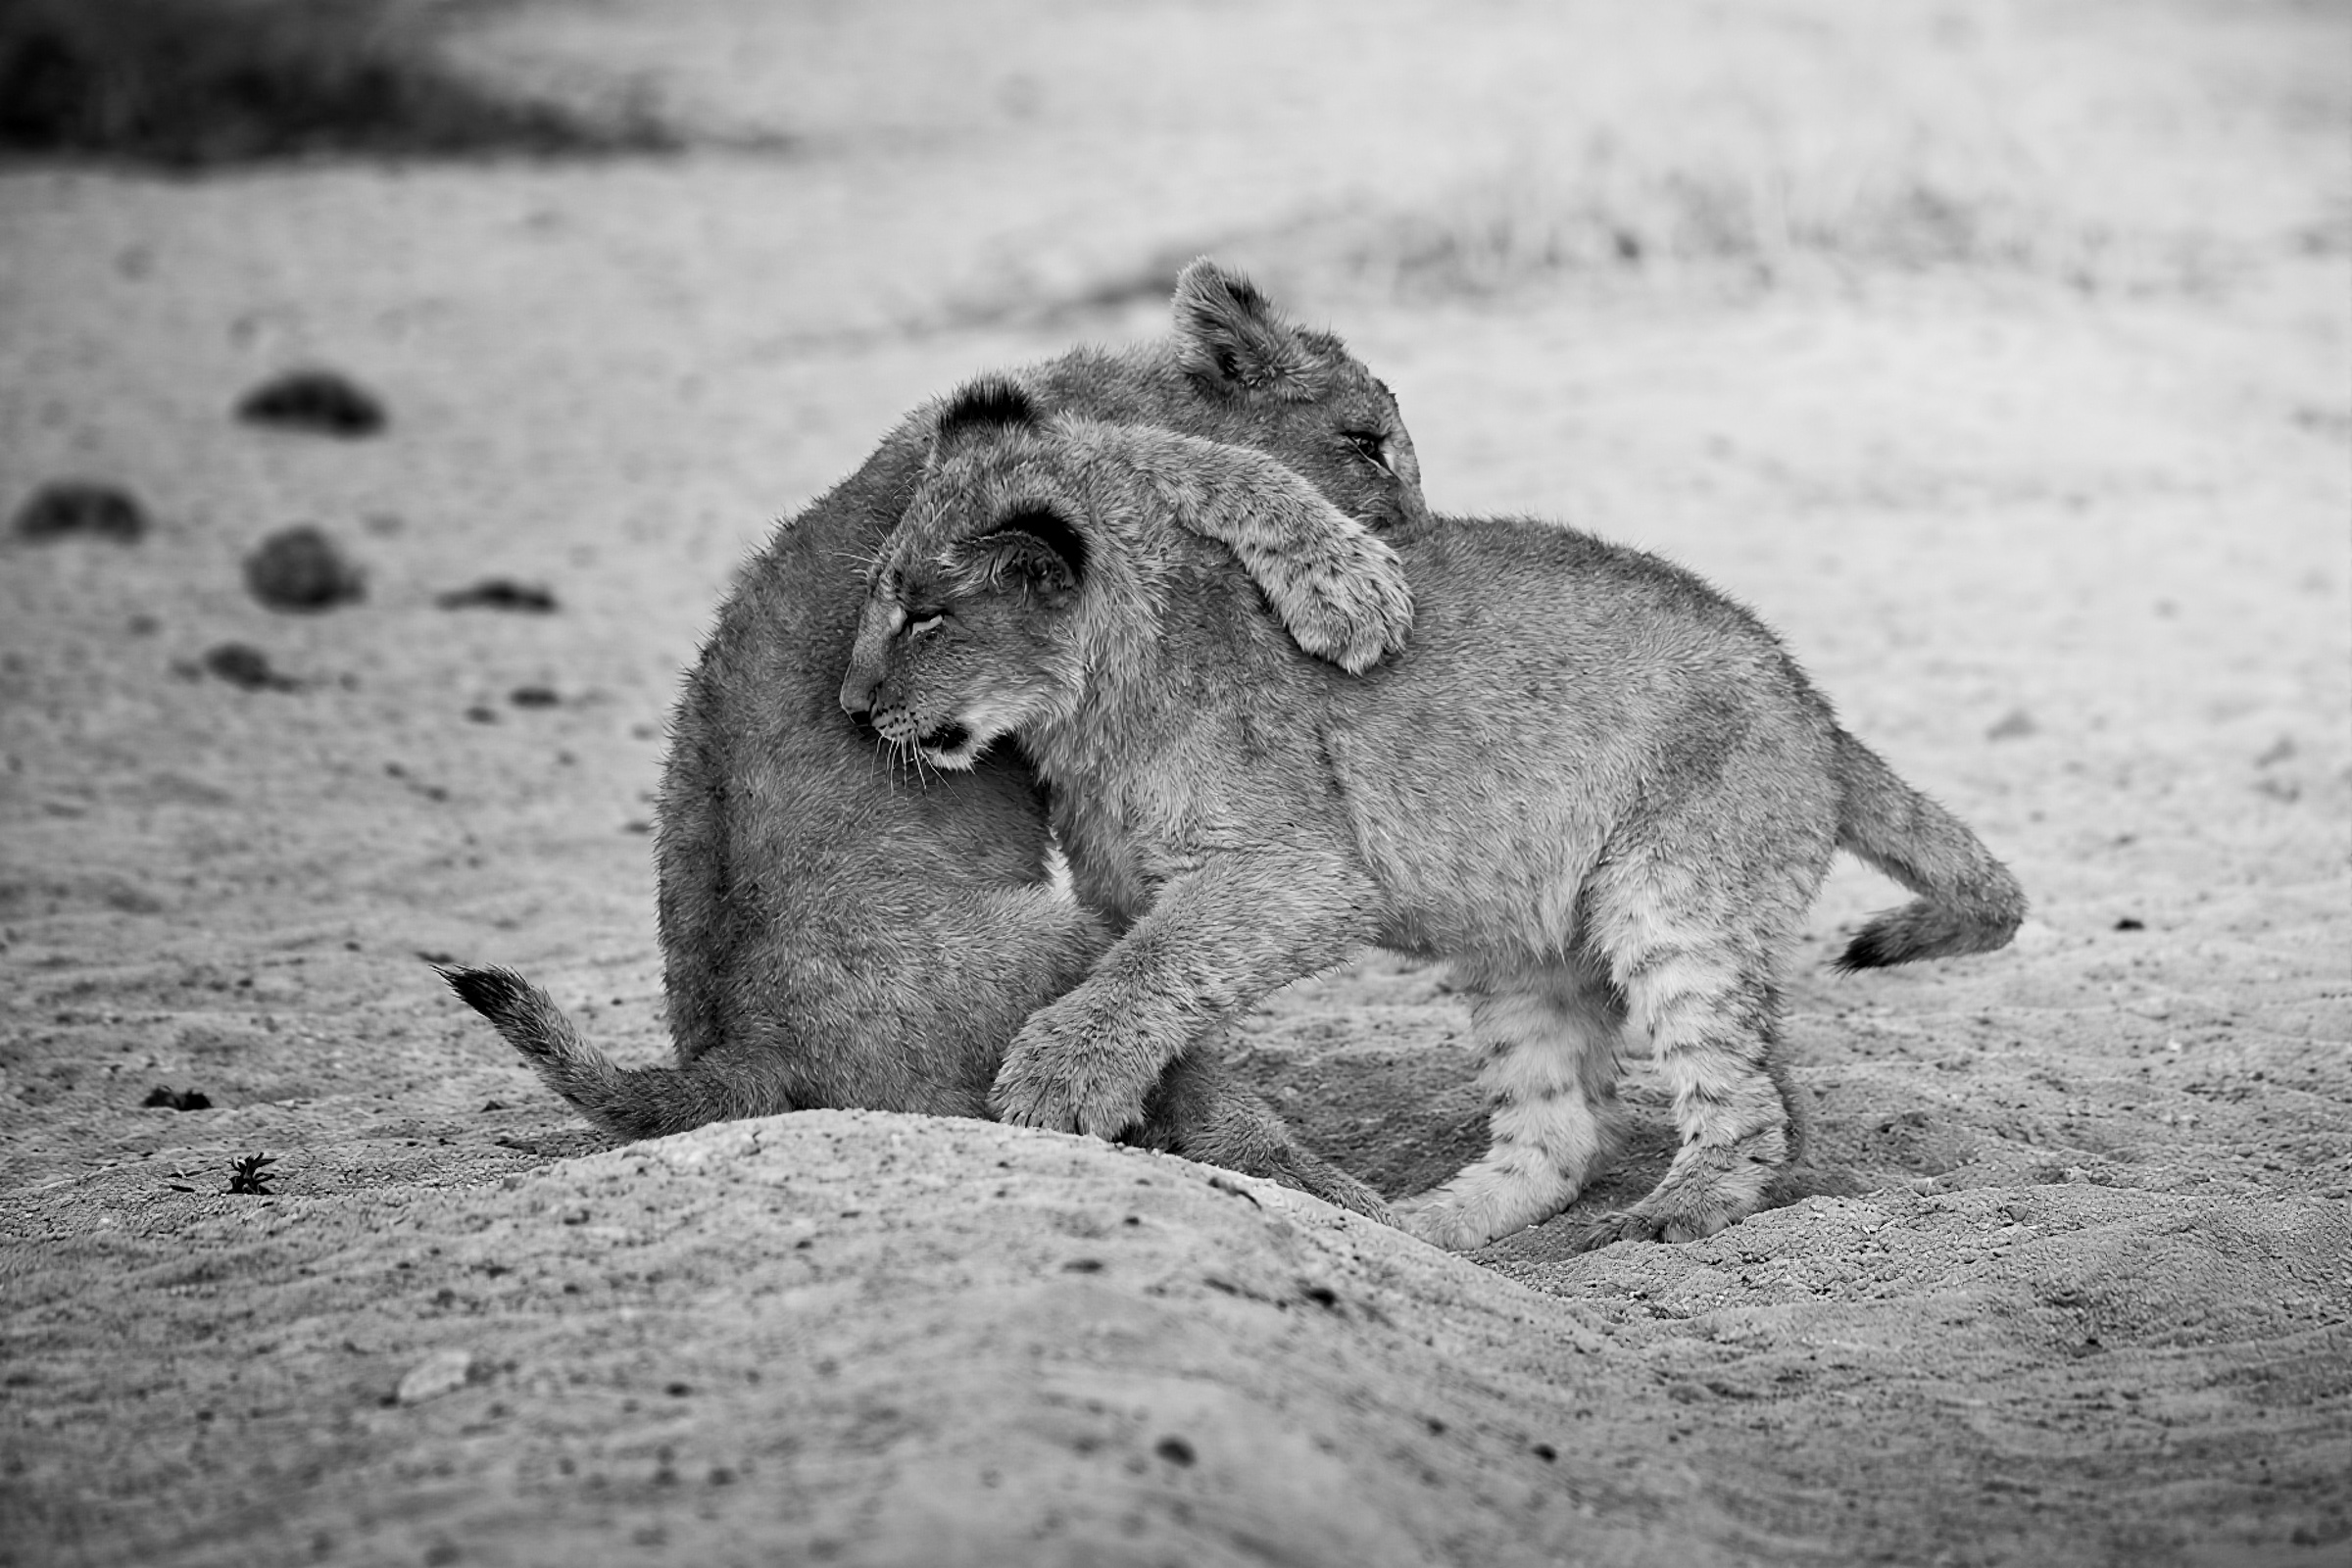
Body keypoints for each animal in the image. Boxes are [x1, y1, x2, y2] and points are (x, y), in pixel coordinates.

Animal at [446, 261, 1427, 1223]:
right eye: (1367, 441)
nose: (1421, 526)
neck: (1129, 385)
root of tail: (741, 1050)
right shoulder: (1020, 467)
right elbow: (1189, 459)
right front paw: (1350, 588)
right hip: (1056, 936)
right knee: (1165, 1066)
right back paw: (1318, 1182)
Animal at [837, 383, 2028, 1252]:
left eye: (926, 614)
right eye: (880, 604)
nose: (851, 705)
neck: (1090, 708)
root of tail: (1813, 703)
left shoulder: (1301, 869)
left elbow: (1148, 969)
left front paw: (1057, 1079)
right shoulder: (1132, 887)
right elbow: (1160, 980)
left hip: (1673, 893)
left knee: (1750, 1100)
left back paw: (1670, 1215)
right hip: (1527, 946)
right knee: (1561, 1130)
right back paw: (1432, 1223)